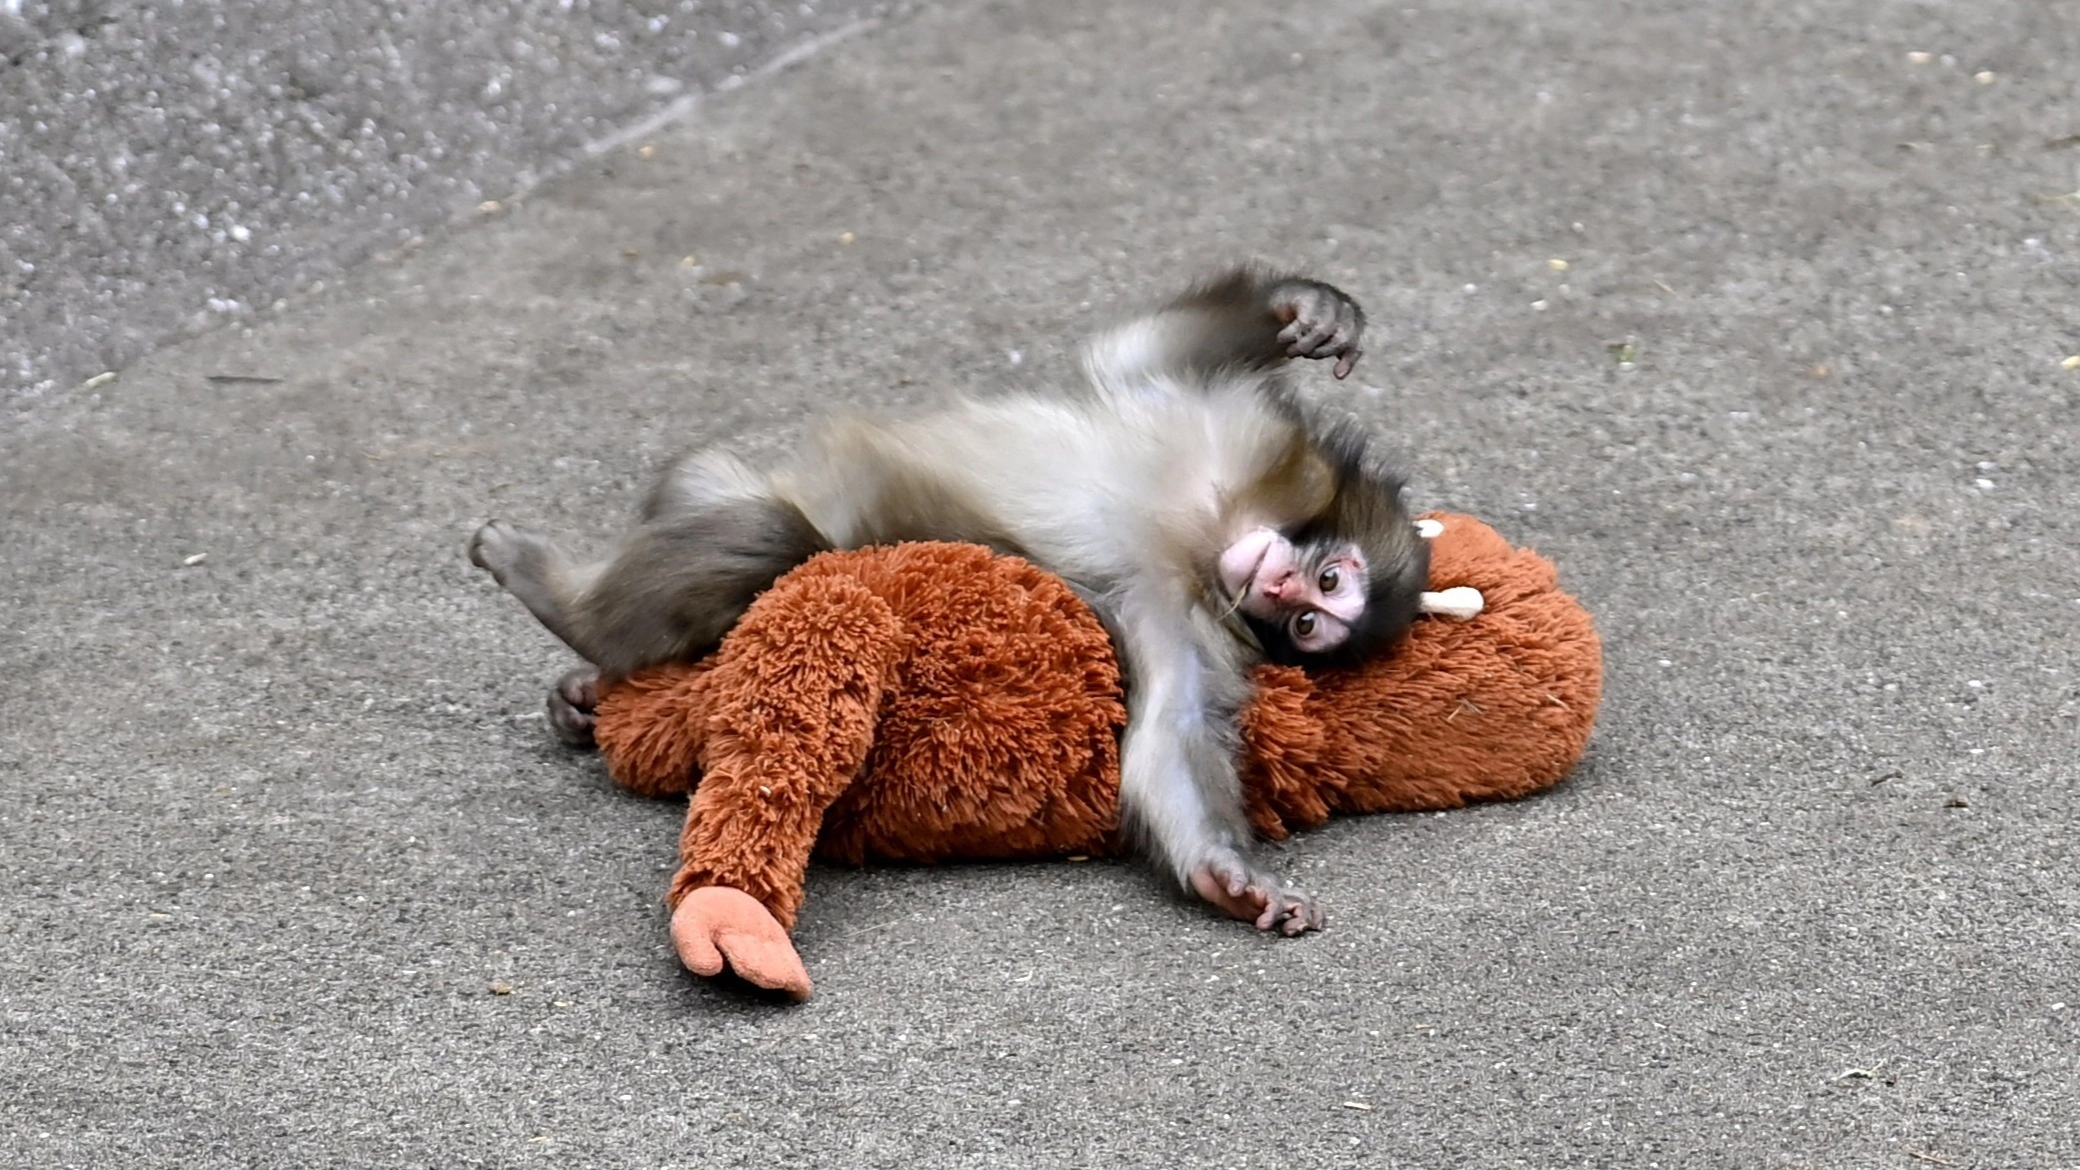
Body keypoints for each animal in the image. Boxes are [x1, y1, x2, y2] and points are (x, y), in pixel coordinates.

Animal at [469, 266, 1429, 935]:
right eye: (1326, 583)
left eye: (1310, 621)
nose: (1278, 585)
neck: (1206, 530)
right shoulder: (1233, 430)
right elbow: (1137, 351)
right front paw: (1304, 309)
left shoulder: (1186, 617)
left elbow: (1171, 733)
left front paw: (1226, 879)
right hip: (708, 478)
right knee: (763, 526)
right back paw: (570, 616)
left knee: (774, 540)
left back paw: (581, 649)